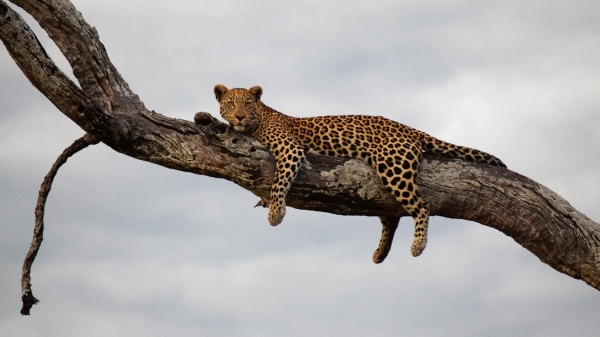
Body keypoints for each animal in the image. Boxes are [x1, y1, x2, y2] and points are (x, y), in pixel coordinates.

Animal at [211, 83, 506, 260]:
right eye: (231, 103)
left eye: (247, 103)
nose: (239, 116)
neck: (261, 118)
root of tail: (409, 128)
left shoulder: (290, 148)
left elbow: (279, 181)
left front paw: (275, 213)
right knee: (392, 215)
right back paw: (380, 253)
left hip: (392, 166)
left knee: (422, 205)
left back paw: (418, 245)